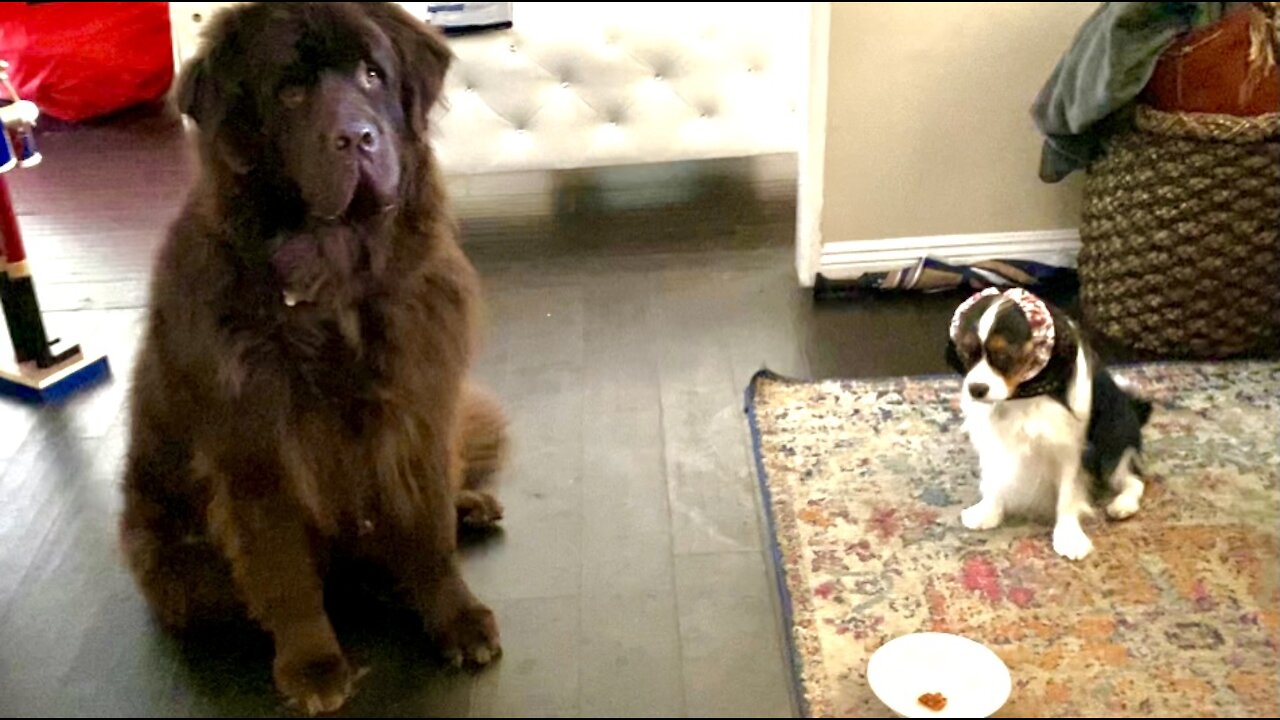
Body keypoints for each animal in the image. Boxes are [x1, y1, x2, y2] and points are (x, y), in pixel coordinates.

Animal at [117, 2, 501, 712]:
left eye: (373, 74)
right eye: (290, 93)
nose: (356, 138)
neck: (337, 283)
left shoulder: (417, 414)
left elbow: (428, 529)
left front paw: (458, 619)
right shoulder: (257, 452)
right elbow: (284, 570)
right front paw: (312, 666)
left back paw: (469, 506)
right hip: (172, 557)